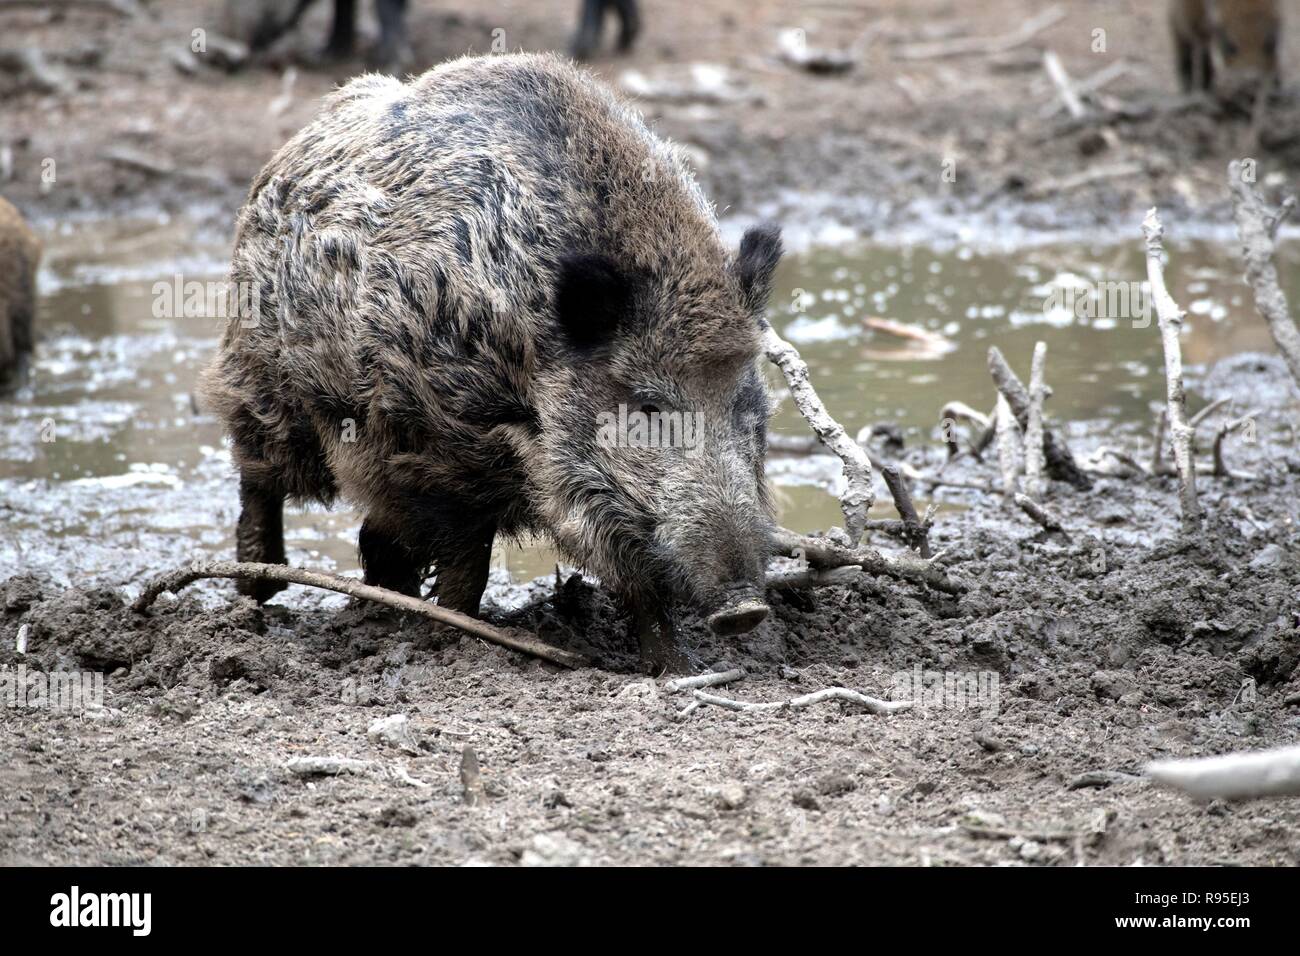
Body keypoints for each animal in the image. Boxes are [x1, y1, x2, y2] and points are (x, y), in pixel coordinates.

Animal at [198, 53, 781, 672]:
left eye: (745, 403)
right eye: (648, 407)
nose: (745, 609)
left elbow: (643, 589)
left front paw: (675, 670)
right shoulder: (433, 454)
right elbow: (468, 562)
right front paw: (453, 638)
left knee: (373, 538)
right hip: (266, 386)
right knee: (257, 478)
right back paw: (258, 592)